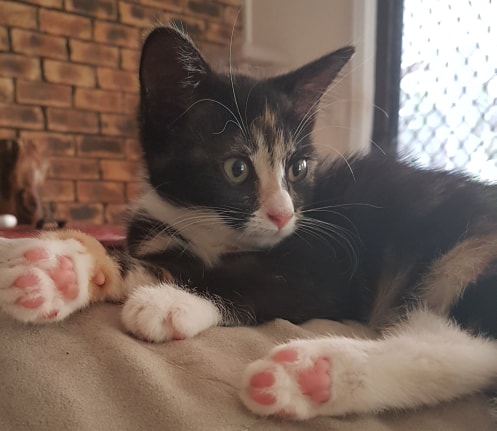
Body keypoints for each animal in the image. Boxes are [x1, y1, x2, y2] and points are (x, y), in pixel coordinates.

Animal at [1, 26, 497, 420]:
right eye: (236, 168)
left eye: (297, 168)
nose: (282, 213)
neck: (213, 232)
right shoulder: (159, 235)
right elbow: (146, 261)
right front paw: (54, 268)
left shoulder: (330, 265)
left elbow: (253, 280)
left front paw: (173, 301)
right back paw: (315, 378)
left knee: (476, 344)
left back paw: (312, 372)